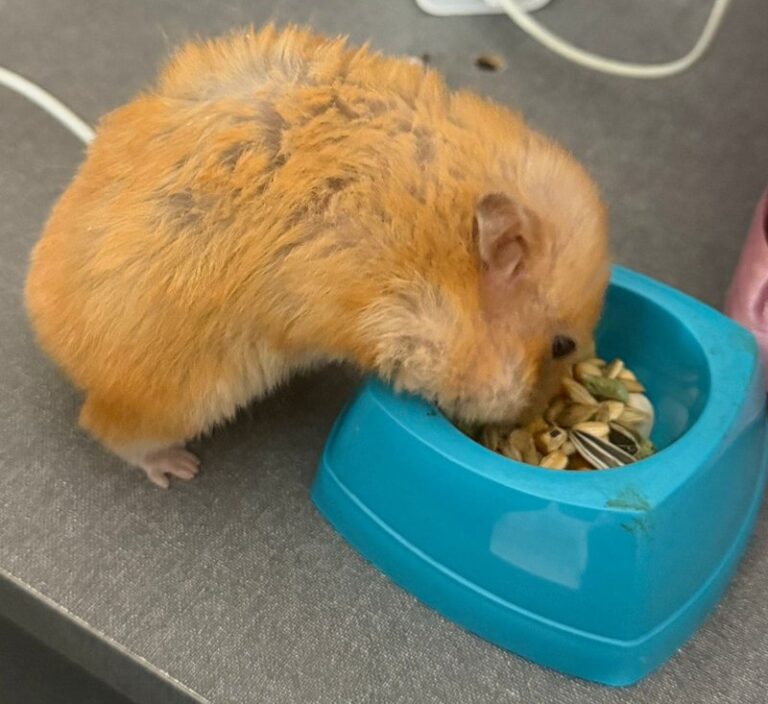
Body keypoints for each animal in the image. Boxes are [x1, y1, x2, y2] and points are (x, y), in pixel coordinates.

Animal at [25, 25, 609, 487]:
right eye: (561, 345)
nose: (525, 422)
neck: (438, 254)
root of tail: (47, 335)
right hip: (187, 395)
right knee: (107, 429)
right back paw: (176, 469)